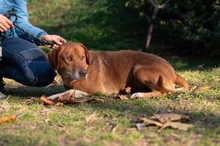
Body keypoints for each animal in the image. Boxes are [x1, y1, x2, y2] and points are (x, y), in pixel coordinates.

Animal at [46, 42, 189, 99]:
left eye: (82, 57)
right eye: (69, 58)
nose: (83, 73)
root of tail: (173, 71)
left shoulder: (97, 90)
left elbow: (70, 91)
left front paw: (52, 96)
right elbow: (70, 90)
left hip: (139, 69)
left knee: (162, 91)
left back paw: (139, 94)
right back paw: (128, 90)